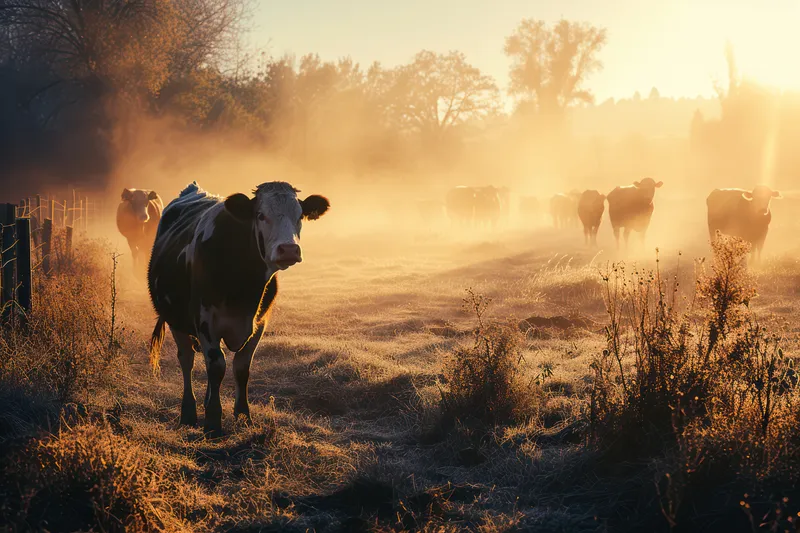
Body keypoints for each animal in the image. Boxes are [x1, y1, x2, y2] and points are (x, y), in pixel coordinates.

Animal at [147, 181, 330, 436]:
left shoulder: (260, 322)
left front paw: (243, 416)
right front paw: (213, 423)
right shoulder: (205, 322)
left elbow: (241, 367)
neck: (244, 286)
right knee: (187, 360)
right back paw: (189, 414)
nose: (289, 249)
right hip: (175, 320)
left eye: (300, 215)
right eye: (260, 215)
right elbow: (217, 366)